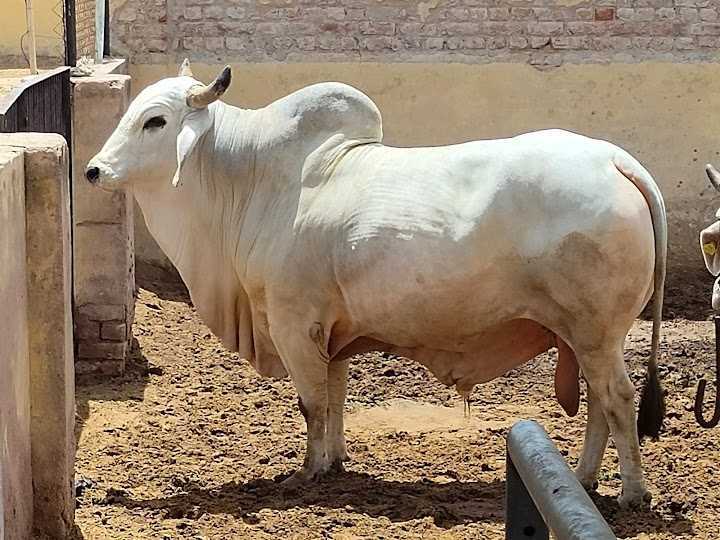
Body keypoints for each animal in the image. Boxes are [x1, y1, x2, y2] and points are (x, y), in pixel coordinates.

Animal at [86, 61, 667, 508]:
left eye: (155, 120)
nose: (93, 171)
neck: (254, 181)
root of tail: (614, 159)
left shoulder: (294, 322)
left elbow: (312, 403)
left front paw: (308, 472)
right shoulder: (332, 332)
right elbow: (335, 396)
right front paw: (336, 460)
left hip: (596, 333)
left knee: (618, 400)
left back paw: (631, 494)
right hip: (582, 337)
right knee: (598, 405)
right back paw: (583, 480)